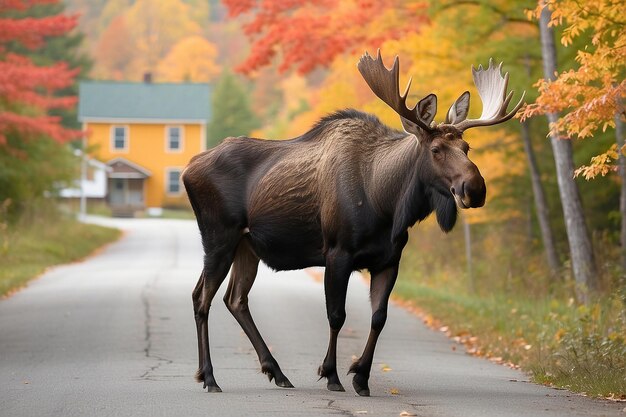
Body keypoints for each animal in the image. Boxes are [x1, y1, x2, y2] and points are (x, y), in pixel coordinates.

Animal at [180, 50, 520, 394]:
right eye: (436, 149)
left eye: (466, 147)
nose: (475, 188)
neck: (387, 204)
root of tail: (187, 169)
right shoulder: (337, 252)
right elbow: (336, 315)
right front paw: (331, 374)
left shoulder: (389, 260)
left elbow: (378, 317)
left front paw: (361, 376)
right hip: (218, 238)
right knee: (201, 297)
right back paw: (210, 377)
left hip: (246, 246)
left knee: (235, 299)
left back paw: (276, 371)